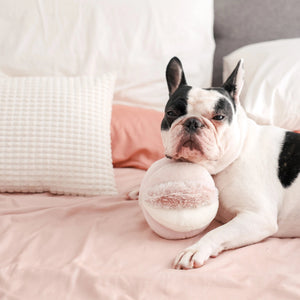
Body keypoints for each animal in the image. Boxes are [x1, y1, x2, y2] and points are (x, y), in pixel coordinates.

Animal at [158, 56, 298, 270]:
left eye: (219, 117)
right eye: (171, 113)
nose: (192, 122)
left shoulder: (258, 217)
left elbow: (218, 232)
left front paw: (196, 249)